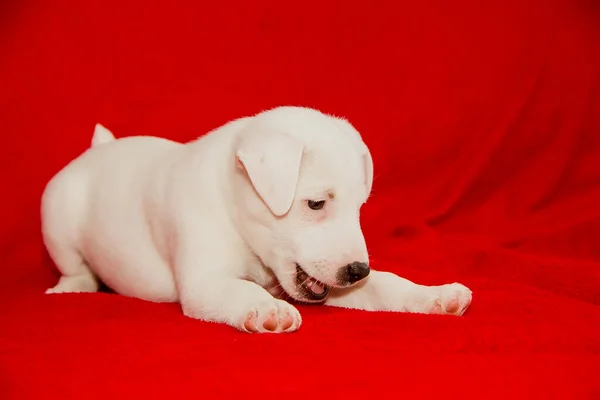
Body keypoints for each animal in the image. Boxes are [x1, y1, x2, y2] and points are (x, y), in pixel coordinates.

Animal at [42, 107, 474, 334]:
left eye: (359, 208)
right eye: (315, 203)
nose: (357, 271)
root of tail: (100, 149)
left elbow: (388, 285)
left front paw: (434, 295)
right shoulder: (205, 283)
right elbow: (237, 289)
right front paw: (268, 308)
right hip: (57, 217)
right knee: (74, 267)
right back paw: (72, 287)